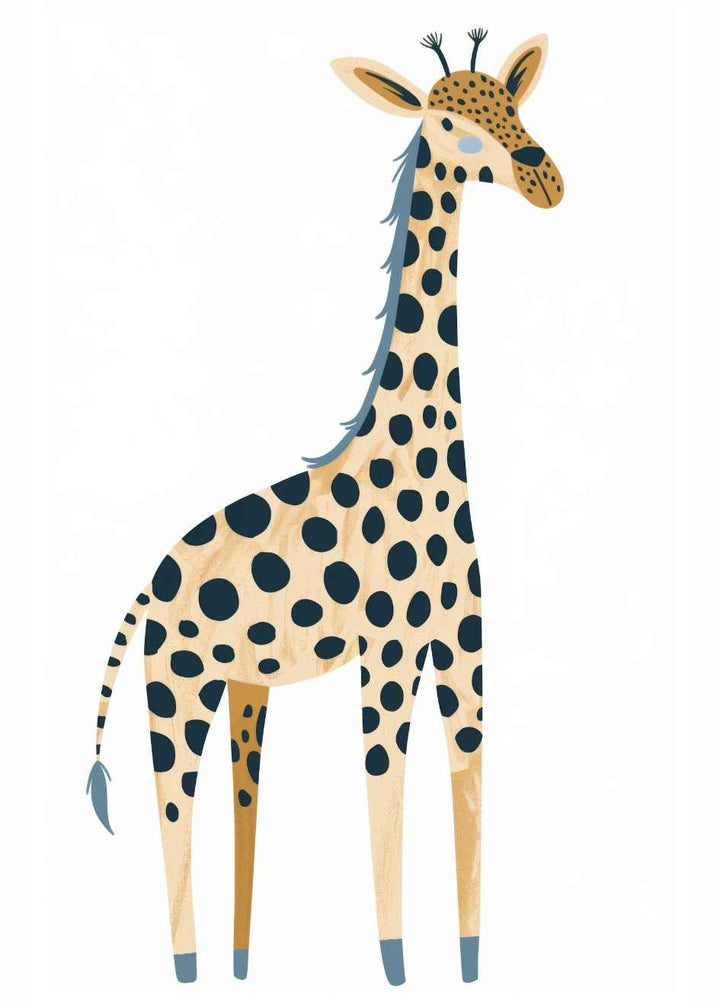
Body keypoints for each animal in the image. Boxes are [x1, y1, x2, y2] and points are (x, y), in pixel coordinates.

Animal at [87, 29, 563, 986]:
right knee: (171, 806)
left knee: (241, 798)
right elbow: (384, 798)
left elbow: (468, 795)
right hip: (175, 684)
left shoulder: (465, 649)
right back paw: (188, 971)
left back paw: (239, 967)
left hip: (245, 687)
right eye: (451, 122)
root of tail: (148, 585)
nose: (544, 178)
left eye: (514, 103)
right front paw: (395, 969)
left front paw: (468, 968)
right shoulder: (388, 653)